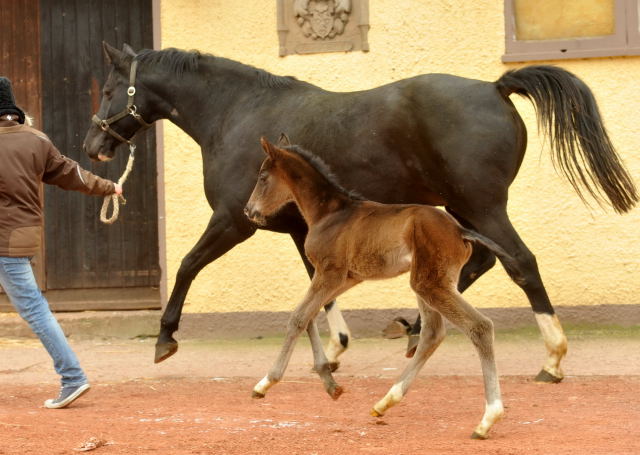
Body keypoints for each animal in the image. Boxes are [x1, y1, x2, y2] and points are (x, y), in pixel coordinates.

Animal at [84, 43, 636, 384]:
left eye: (109, 90)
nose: (92, 147)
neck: (236, 113)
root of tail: (495, 87)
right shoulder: (300, 228)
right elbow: (319, 287)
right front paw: (335, 350)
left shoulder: (235, 220)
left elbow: (188, 265)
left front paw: (164, 338)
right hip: (463, 208)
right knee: (478, 263)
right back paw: (413, 329)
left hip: (482, 205)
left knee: (521, 263)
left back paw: (553, 359)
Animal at [242, 137, 516, 440]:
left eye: (262, 177)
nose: (249, 211)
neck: (330, 213)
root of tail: (460, 230)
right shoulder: (348, 278)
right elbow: (309, 316)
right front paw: (329, 382)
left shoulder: (329, 273)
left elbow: (298, 317)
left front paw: (266, 382)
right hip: (428, 282)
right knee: (432, 333)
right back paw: (386, 402)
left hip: (429, 283)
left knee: (479, 327)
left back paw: (487, 419)